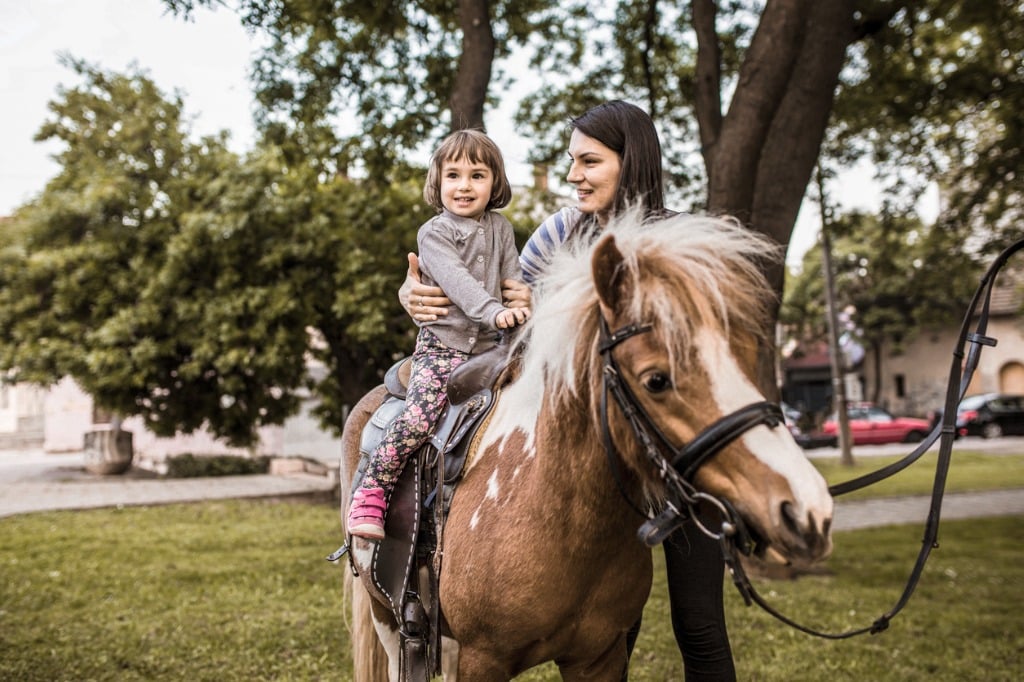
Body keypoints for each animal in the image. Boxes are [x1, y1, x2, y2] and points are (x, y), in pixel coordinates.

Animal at [339, 209, 835, 675]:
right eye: (656, 380)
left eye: (745, 360)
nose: (806, 510)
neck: (559, 511)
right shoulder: (481, 659)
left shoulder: (600, 656)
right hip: (389, 621)